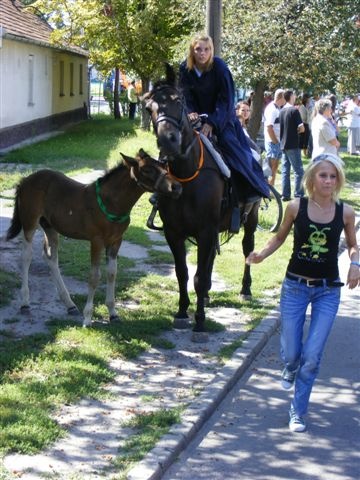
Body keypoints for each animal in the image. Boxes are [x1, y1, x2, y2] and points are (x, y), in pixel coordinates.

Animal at [6, 150, 183, 326]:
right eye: (147, 170)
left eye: (164, 166)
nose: (177, 187)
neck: (112, 202)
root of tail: (25, 180)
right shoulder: (96, 241)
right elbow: (94, 276)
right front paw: (87, 318)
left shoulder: (116, 241)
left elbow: (112, 273)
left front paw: (113, 313)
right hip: (30, 222)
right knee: (26, 256)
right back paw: (25, 303)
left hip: (50, 226)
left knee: (50, 257)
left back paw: (70, 304)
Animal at [144, 68, 262, 338]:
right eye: (148, 108)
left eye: (179, 101)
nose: (169, 141)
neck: (186, 176)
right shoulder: (174, 232)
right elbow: (182, 273)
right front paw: (181, 312)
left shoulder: (206, 230)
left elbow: (197, 276)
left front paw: (199, 320)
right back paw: (207, 296)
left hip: (250, 219)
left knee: (247, 249)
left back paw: (245, 289)